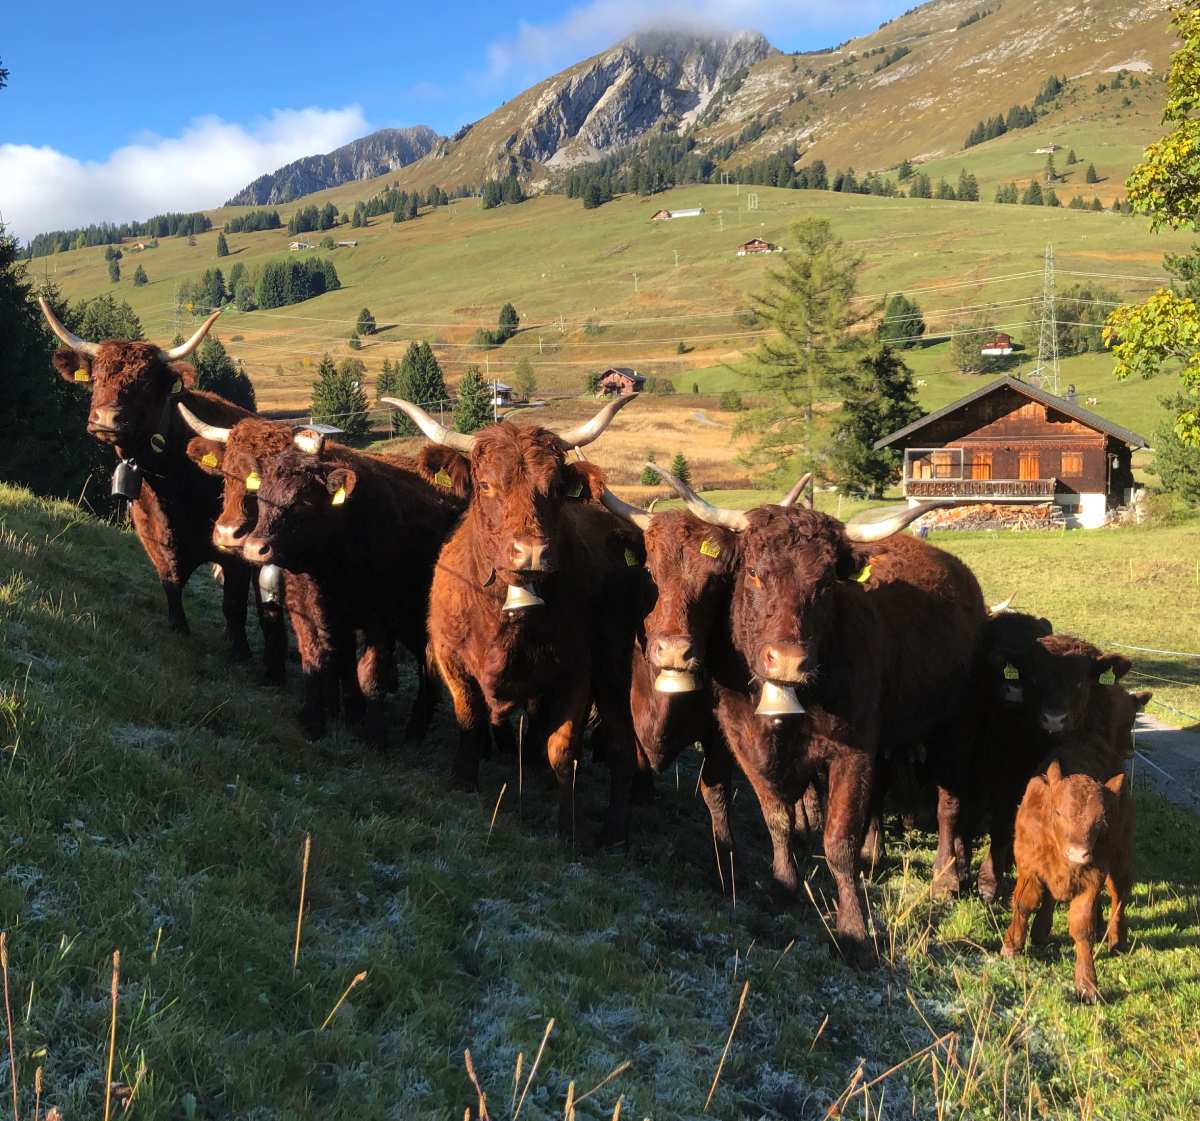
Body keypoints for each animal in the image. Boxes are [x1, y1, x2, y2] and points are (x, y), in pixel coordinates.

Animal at [39, 298, 286, 680]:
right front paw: (178, 628)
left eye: (144, 382)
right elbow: (170, 583)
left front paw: (240, 653)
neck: (172, 484)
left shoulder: (235, 547)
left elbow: (232, 603)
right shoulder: (153, 536)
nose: (105, 419)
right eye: (96, 377)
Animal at [204, 421, 464, 747]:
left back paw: (414, 732)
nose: (254, 548)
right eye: (260, 495)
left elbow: (371, 672)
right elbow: (317, 659)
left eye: (302, 501)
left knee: (428, 666)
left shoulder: (380, 617)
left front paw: (373, 734)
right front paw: (316, 720)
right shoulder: (310, 612)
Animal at [382, 395, 642, 845]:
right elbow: (469, 718)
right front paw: (463, 781)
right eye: (486, 485)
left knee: (617, 746)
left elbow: (564, 749)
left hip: (611, 672)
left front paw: (567, 827)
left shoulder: (576, 673)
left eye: (554, 489)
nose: (531, 553)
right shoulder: (451, 659)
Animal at [604, 469, 986, 966]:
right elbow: (777, 817)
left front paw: (853, 929)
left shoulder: (851, 753)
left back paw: (944, 876)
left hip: (955, 724)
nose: (787, 660)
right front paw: (784, 884)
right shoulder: (743, 741)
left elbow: (838, 841)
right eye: (752, 573)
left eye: (825, 584)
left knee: (948, 803)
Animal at [1002, 760, 1133, 1003]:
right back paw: (1040, 933)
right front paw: (1012, 946)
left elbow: (1082, 927)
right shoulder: (1029, 868)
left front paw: (1087, 985)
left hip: (1121, 860)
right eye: (1058, 812)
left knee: (1118, 895)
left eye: (1101, 820)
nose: (1078, 853)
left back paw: (1117, 941)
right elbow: (1024, 904)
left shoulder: (1092, 881)